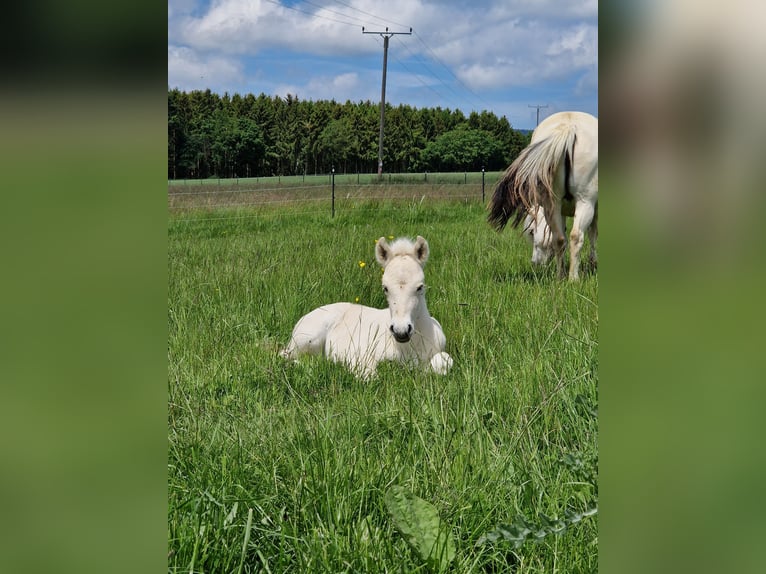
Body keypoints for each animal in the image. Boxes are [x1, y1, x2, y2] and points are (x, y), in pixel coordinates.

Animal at [282, 236, 452, 380]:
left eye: (420, 287)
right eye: (385, 288)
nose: (401, 331)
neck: (408, 346)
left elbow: (445, 362)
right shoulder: (359, 355)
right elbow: (369, 375)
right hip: (306, 339)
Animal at [492, 111, 600, 282]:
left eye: (531, 232)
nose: (534, 262)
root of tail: (568, 128)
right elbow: (593, 234)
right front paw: (593, 264)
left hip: (553, 203)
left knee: (559, 239)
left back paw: (560, 276)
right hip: (585, 202)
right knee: (576, 236)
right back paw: (573, 278)